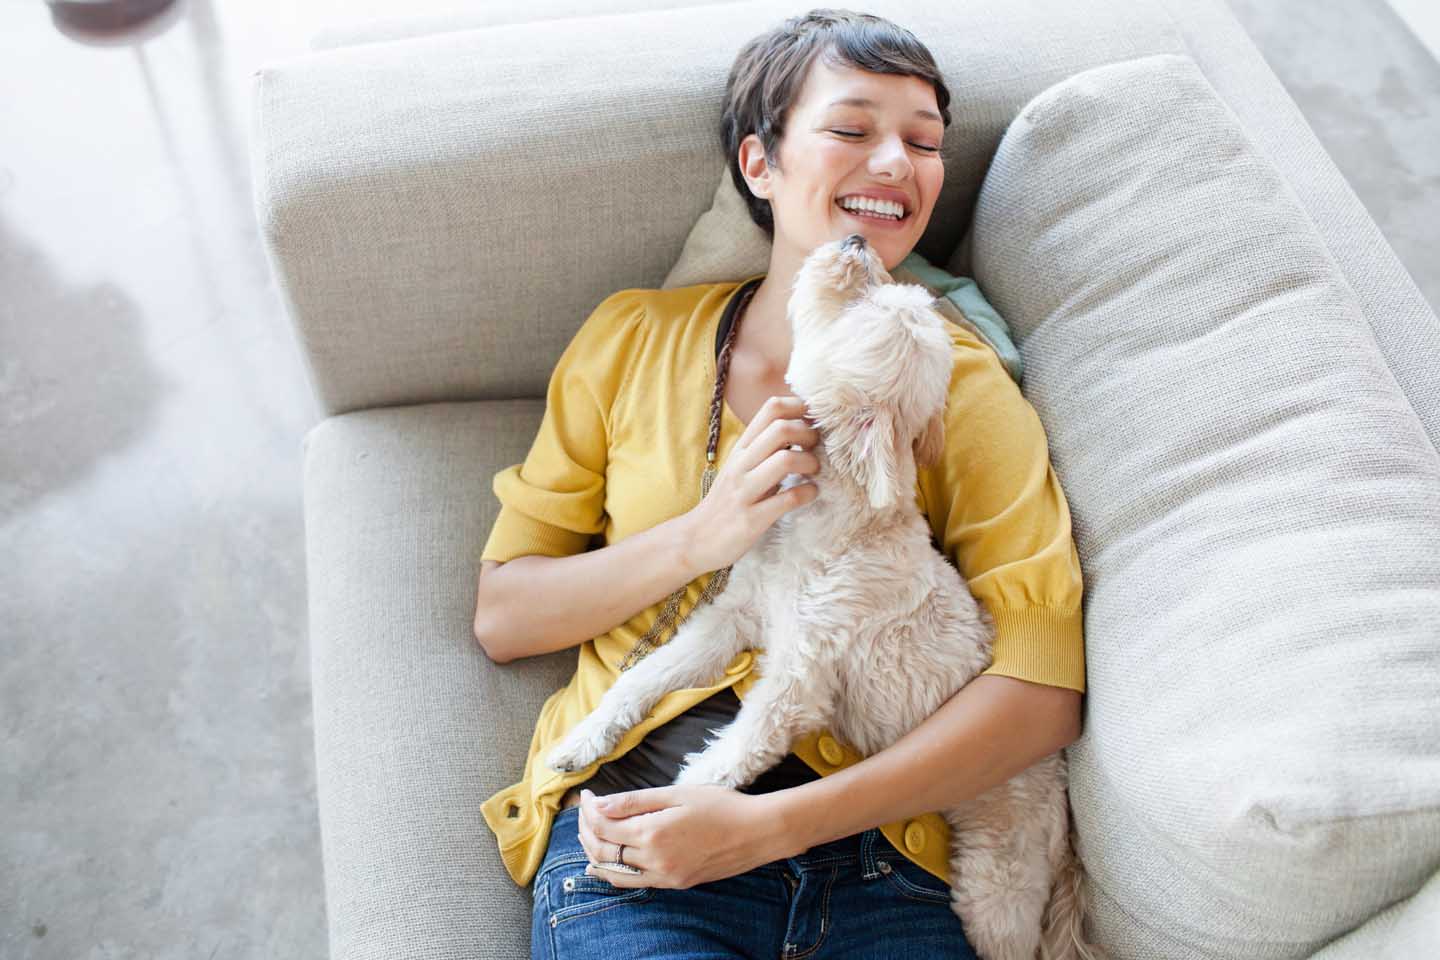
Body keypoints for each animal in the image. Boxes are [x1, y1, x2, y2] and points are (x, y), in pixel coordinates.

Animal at [544, 234, 1094, 960]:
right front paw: (584, 739)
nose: (856, 241)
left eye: (862, 307)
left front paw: (679, 813)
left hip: (997, 880)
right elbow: (645, 678)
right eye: (878, 288)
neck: (829, 525)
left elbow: (733, 755)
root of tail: (1060, 802)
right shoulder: (733, 621)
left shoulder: (798, 680)